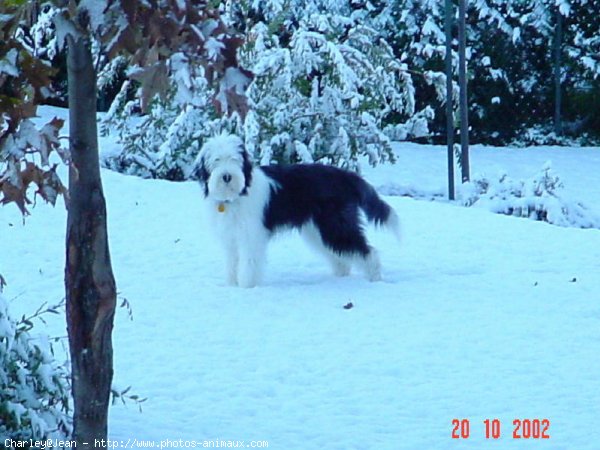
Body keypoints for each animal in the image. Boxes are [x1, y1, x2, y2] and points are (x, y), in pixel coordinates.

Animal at [192, 134, 398, 288]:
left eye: (234, 159)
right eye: (216, 160)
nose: (227, 176)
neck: (236, 196)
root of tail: (344, 175)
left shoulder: (251, 235)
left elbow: (249, 262)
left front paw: (246, 286)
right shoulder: (231, 237)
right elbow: (232, 262)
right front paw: (232, 284)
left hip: (335, 225)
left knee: (366, 250)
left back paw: (375, 277)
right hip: (316, 229)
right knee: (340, 255)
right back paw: (340, 275)